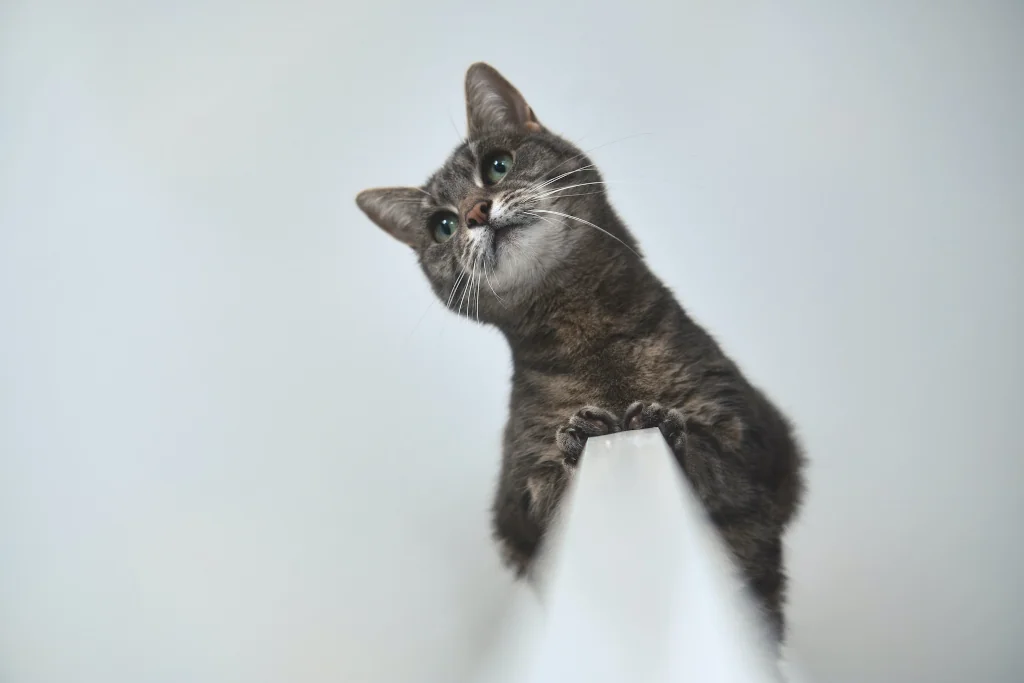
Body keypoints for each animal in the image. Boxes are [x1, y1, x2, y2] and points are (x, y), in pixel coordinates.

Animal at [356, 63, 802, 647]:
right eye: (442, 226)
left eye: (497, 166)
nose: (475, 212)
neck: (588, 334)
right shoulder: (516, 511)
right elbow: (548, 498)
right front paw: (582, 437)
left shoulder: (758, 438)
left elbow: (720, 464)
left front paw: (669, 426)